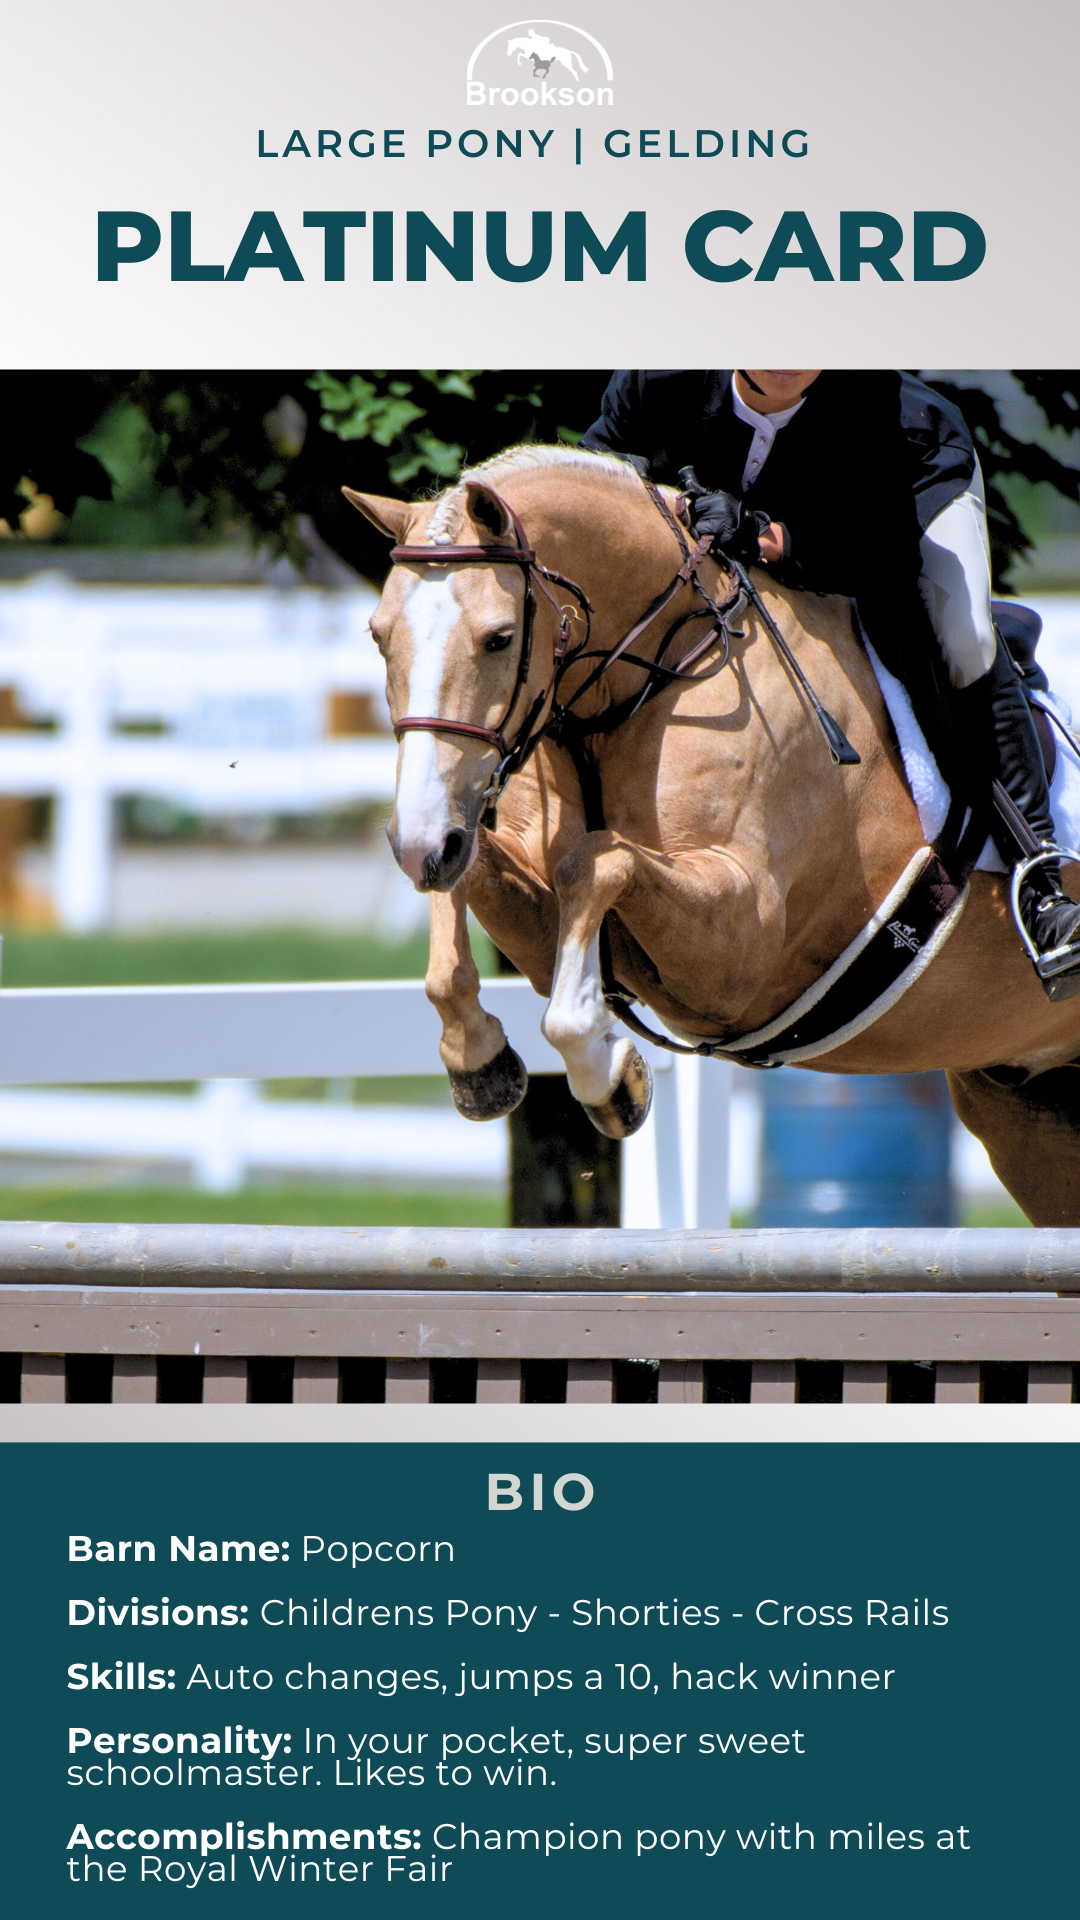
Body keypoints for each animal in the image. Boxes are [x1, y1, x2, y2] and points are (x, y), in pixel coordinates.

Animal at [344, 446, 1080, 1227]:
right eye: (378, 635)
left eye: (499, 639)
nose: (420, 844)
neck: (646, 681)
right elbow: (480, 879)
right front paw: (479, 1061)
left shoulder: (741, 942)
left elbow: (595, 865)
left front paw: (610, 1075)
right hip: (1028, 1108)